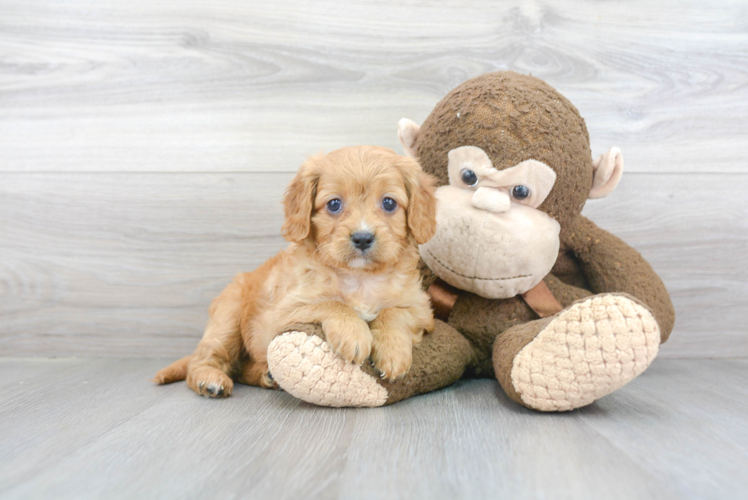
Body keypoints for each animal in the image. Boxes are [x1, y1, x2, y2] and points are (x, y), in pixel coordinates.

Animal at [156, 146, 438, 398]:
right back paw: (210, 380)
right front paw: (354, 334)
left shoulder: (422, 310)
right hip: (227, 319)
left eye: (389, 203)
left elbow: (393, 313)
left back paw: (266, 375)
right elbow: (333, 304)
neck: (360, 278)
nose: (362, 238)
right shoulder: (282, 311)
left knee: (241, 368)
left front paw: (393, 352)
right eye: (334, 204)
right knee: (205, 360)